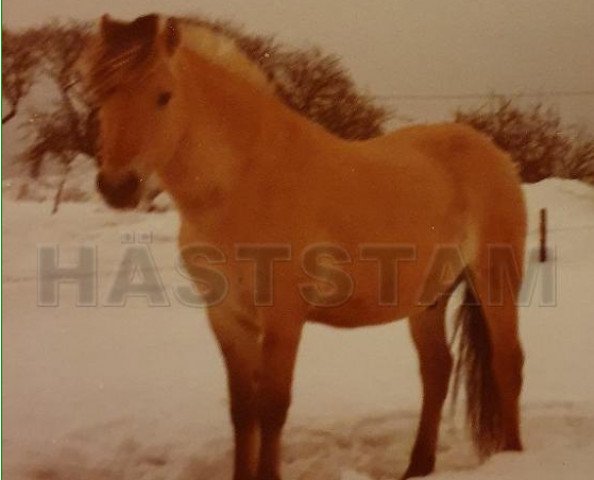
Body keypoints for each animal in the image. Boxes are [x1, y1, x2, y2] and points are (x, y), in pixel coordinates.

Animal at [84, 13, 524, 478]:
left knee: (507, 364)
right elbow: (243, 411)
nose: (117, 186)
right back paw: (418, 467)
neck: (243, 181)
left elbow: (273, 407)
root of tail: (492, 152)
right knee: (437, 371)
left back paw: (513, 454)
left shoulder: (283, 317)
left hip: (496, 279)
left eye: (163, 96)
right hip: (427, 299)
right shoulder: (226, 317)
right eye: (100, 94)